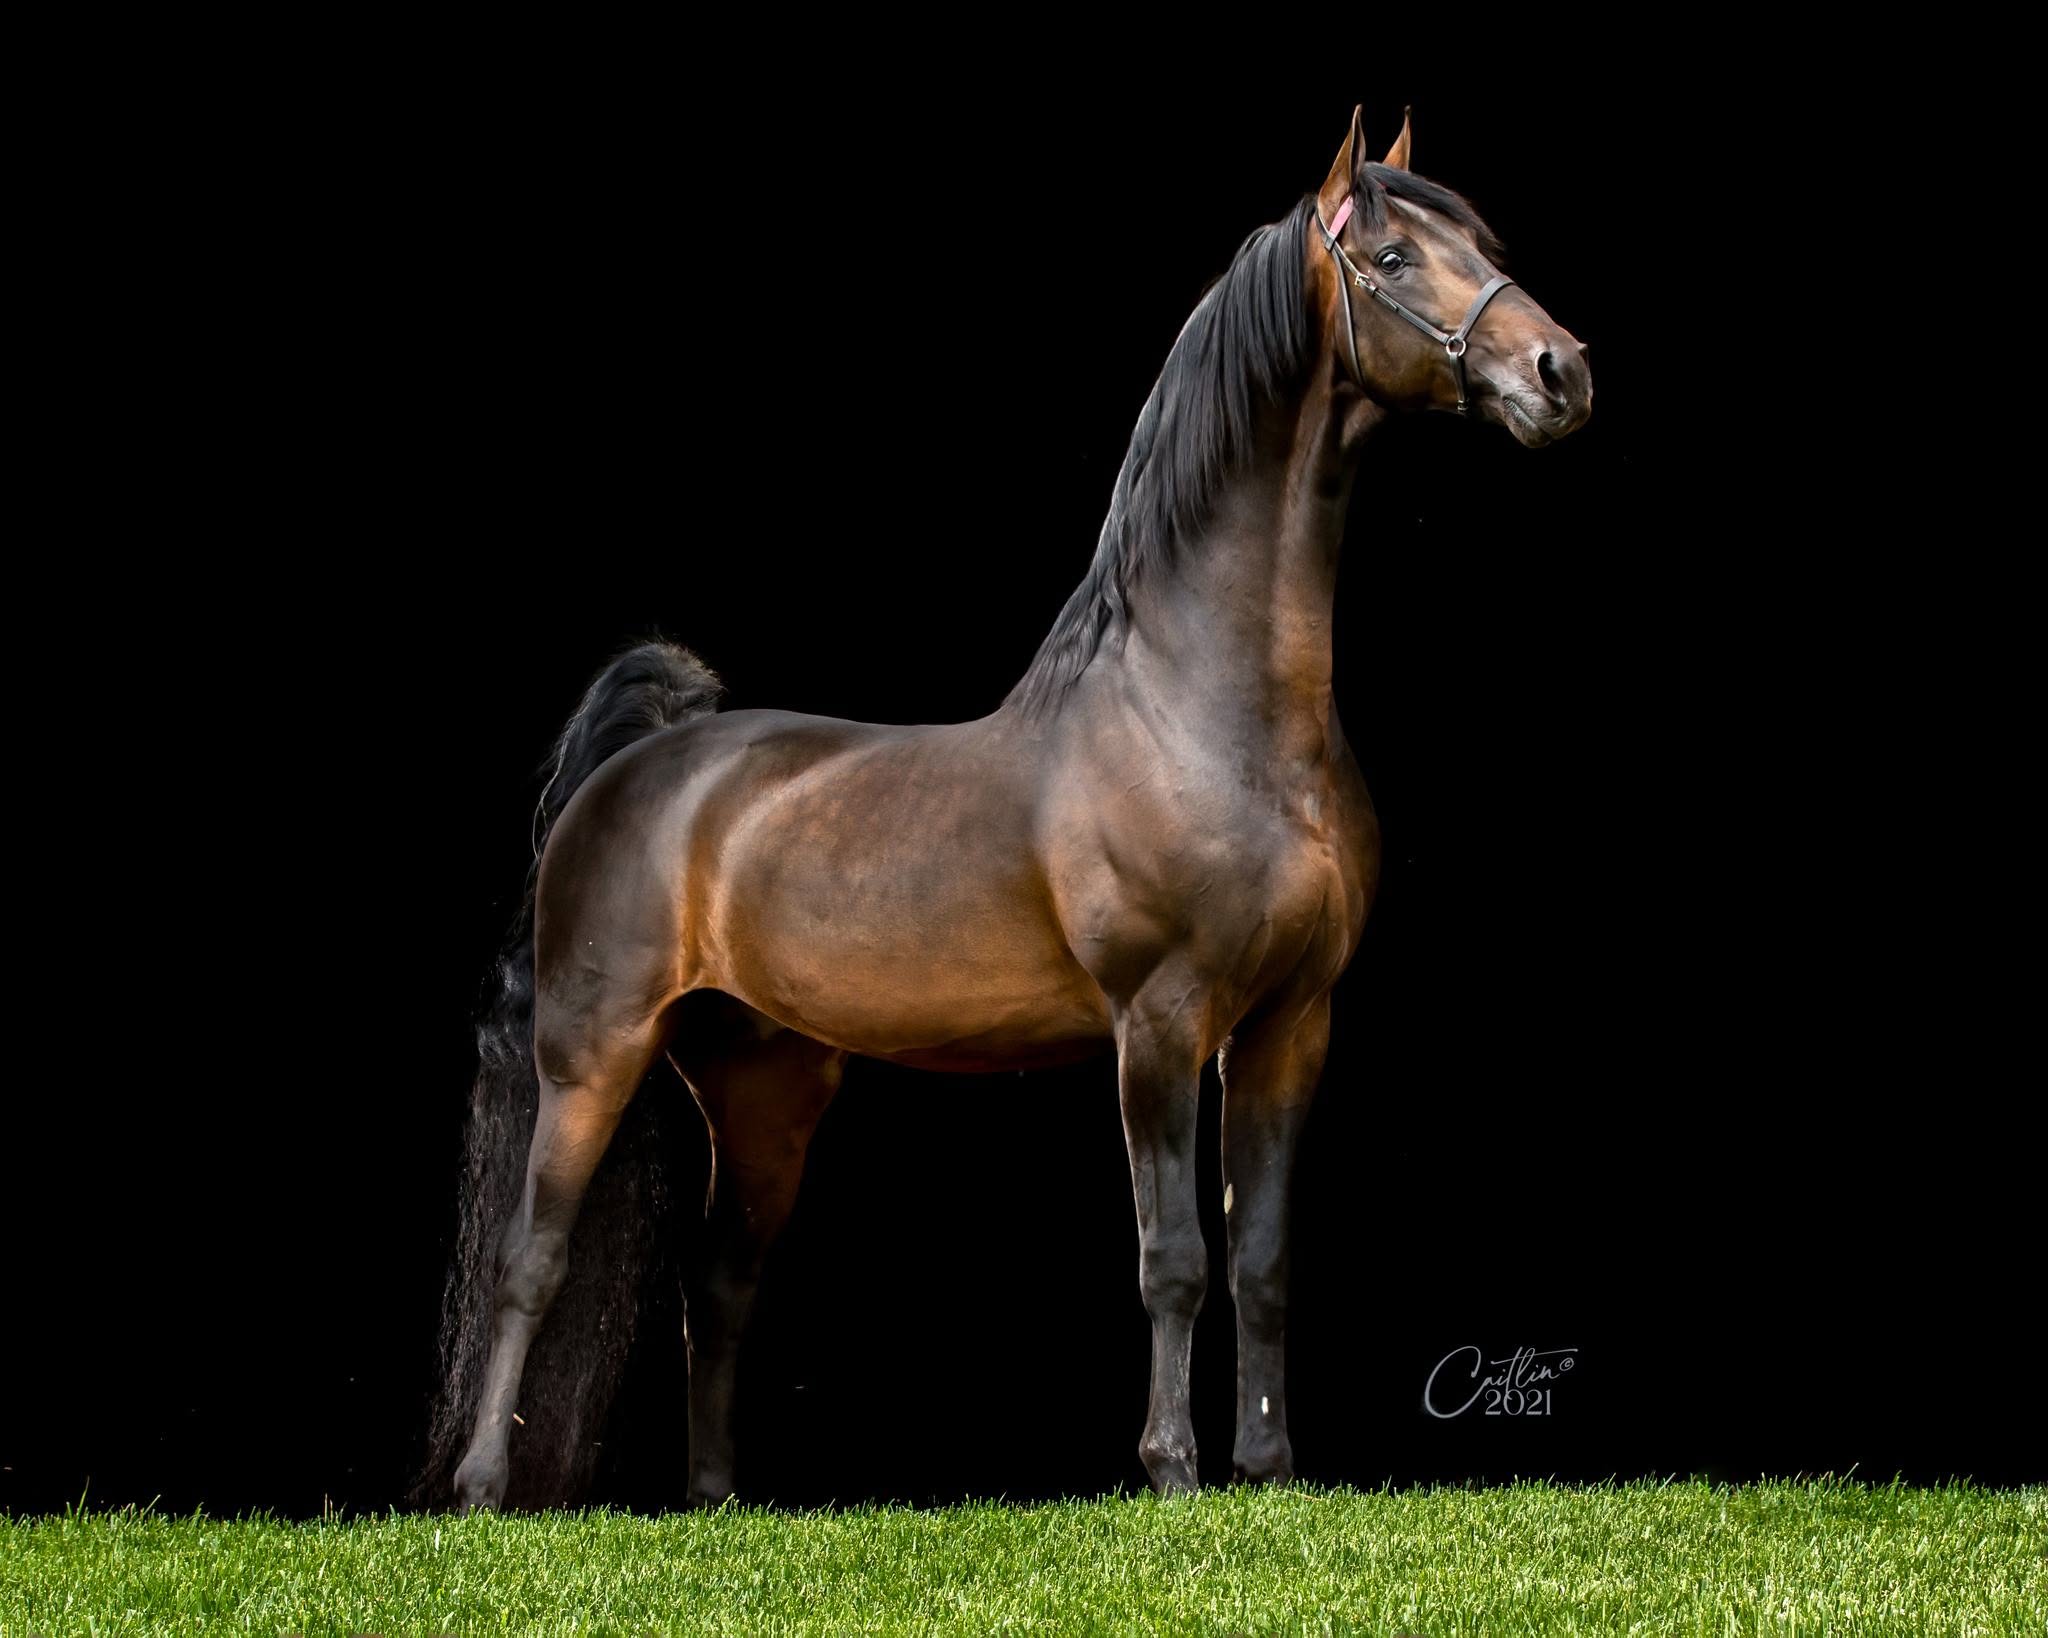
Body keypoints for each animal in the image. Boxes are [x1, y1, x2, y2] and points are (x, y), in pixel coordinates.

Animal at [424, 104, 1593, 1512]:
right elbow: (1173, 1257)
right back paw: (483, 1490)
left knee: (721, 1282)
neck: (1201, 711)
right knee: (530, 1265)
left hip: (763, 1084)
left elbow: (1259, 1255)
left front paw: (1267, 1472)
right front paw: (1172, 1474)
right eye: (1389, 257)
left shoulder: (1288, 1025)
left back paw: (718, 1500)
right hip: (591, 1053)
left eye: (1481, 244)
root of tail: (640, 764)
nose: (1560, 372)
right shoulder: (1159, 1024)